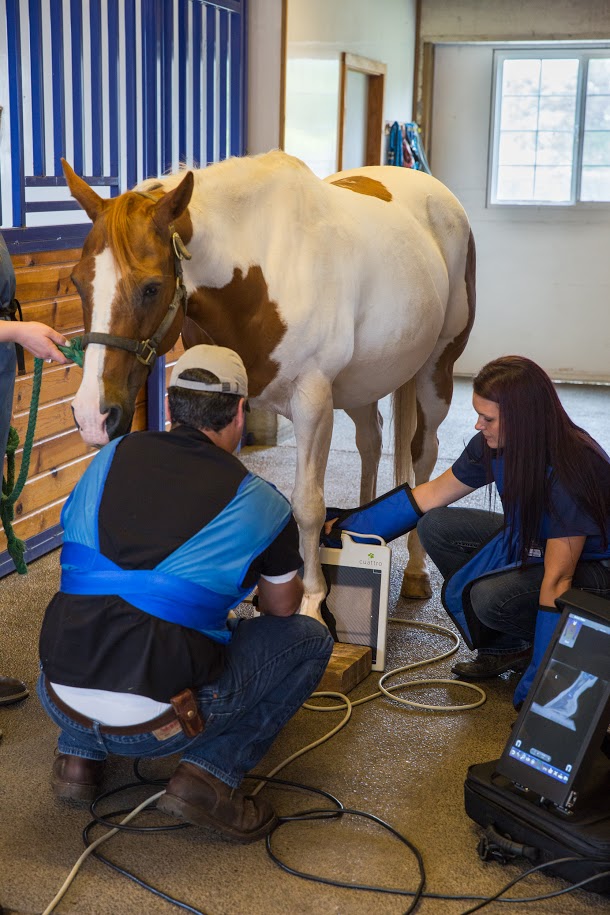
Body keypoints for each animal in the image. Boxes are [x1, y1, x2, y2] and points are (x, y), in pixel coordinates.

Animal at [64, 152, 478, 624]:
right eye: (77, 282)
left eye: (151, 287)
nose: (92, 416)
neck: (262, 270)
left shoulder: (313, 401)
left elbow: (308, 505)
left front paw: (312, 603)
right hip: (363, 380)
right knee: (371, 440)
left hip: (435, 370)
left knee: (423, 453)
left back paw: (414, 572)